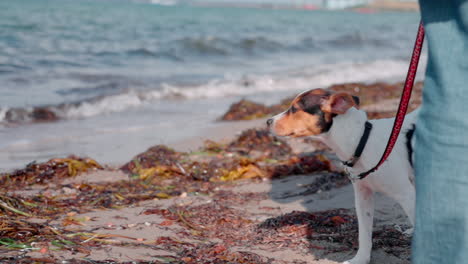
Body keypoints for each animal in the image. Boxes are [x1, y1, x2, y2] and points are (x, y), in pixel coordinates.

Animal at [266, 88, 416, 264]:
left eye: (295, 109)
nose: (268, 121)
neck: (361, 141)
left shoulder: (405, 193)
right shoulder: (363, 197)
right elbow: (364, 234)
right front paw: (360, 259)